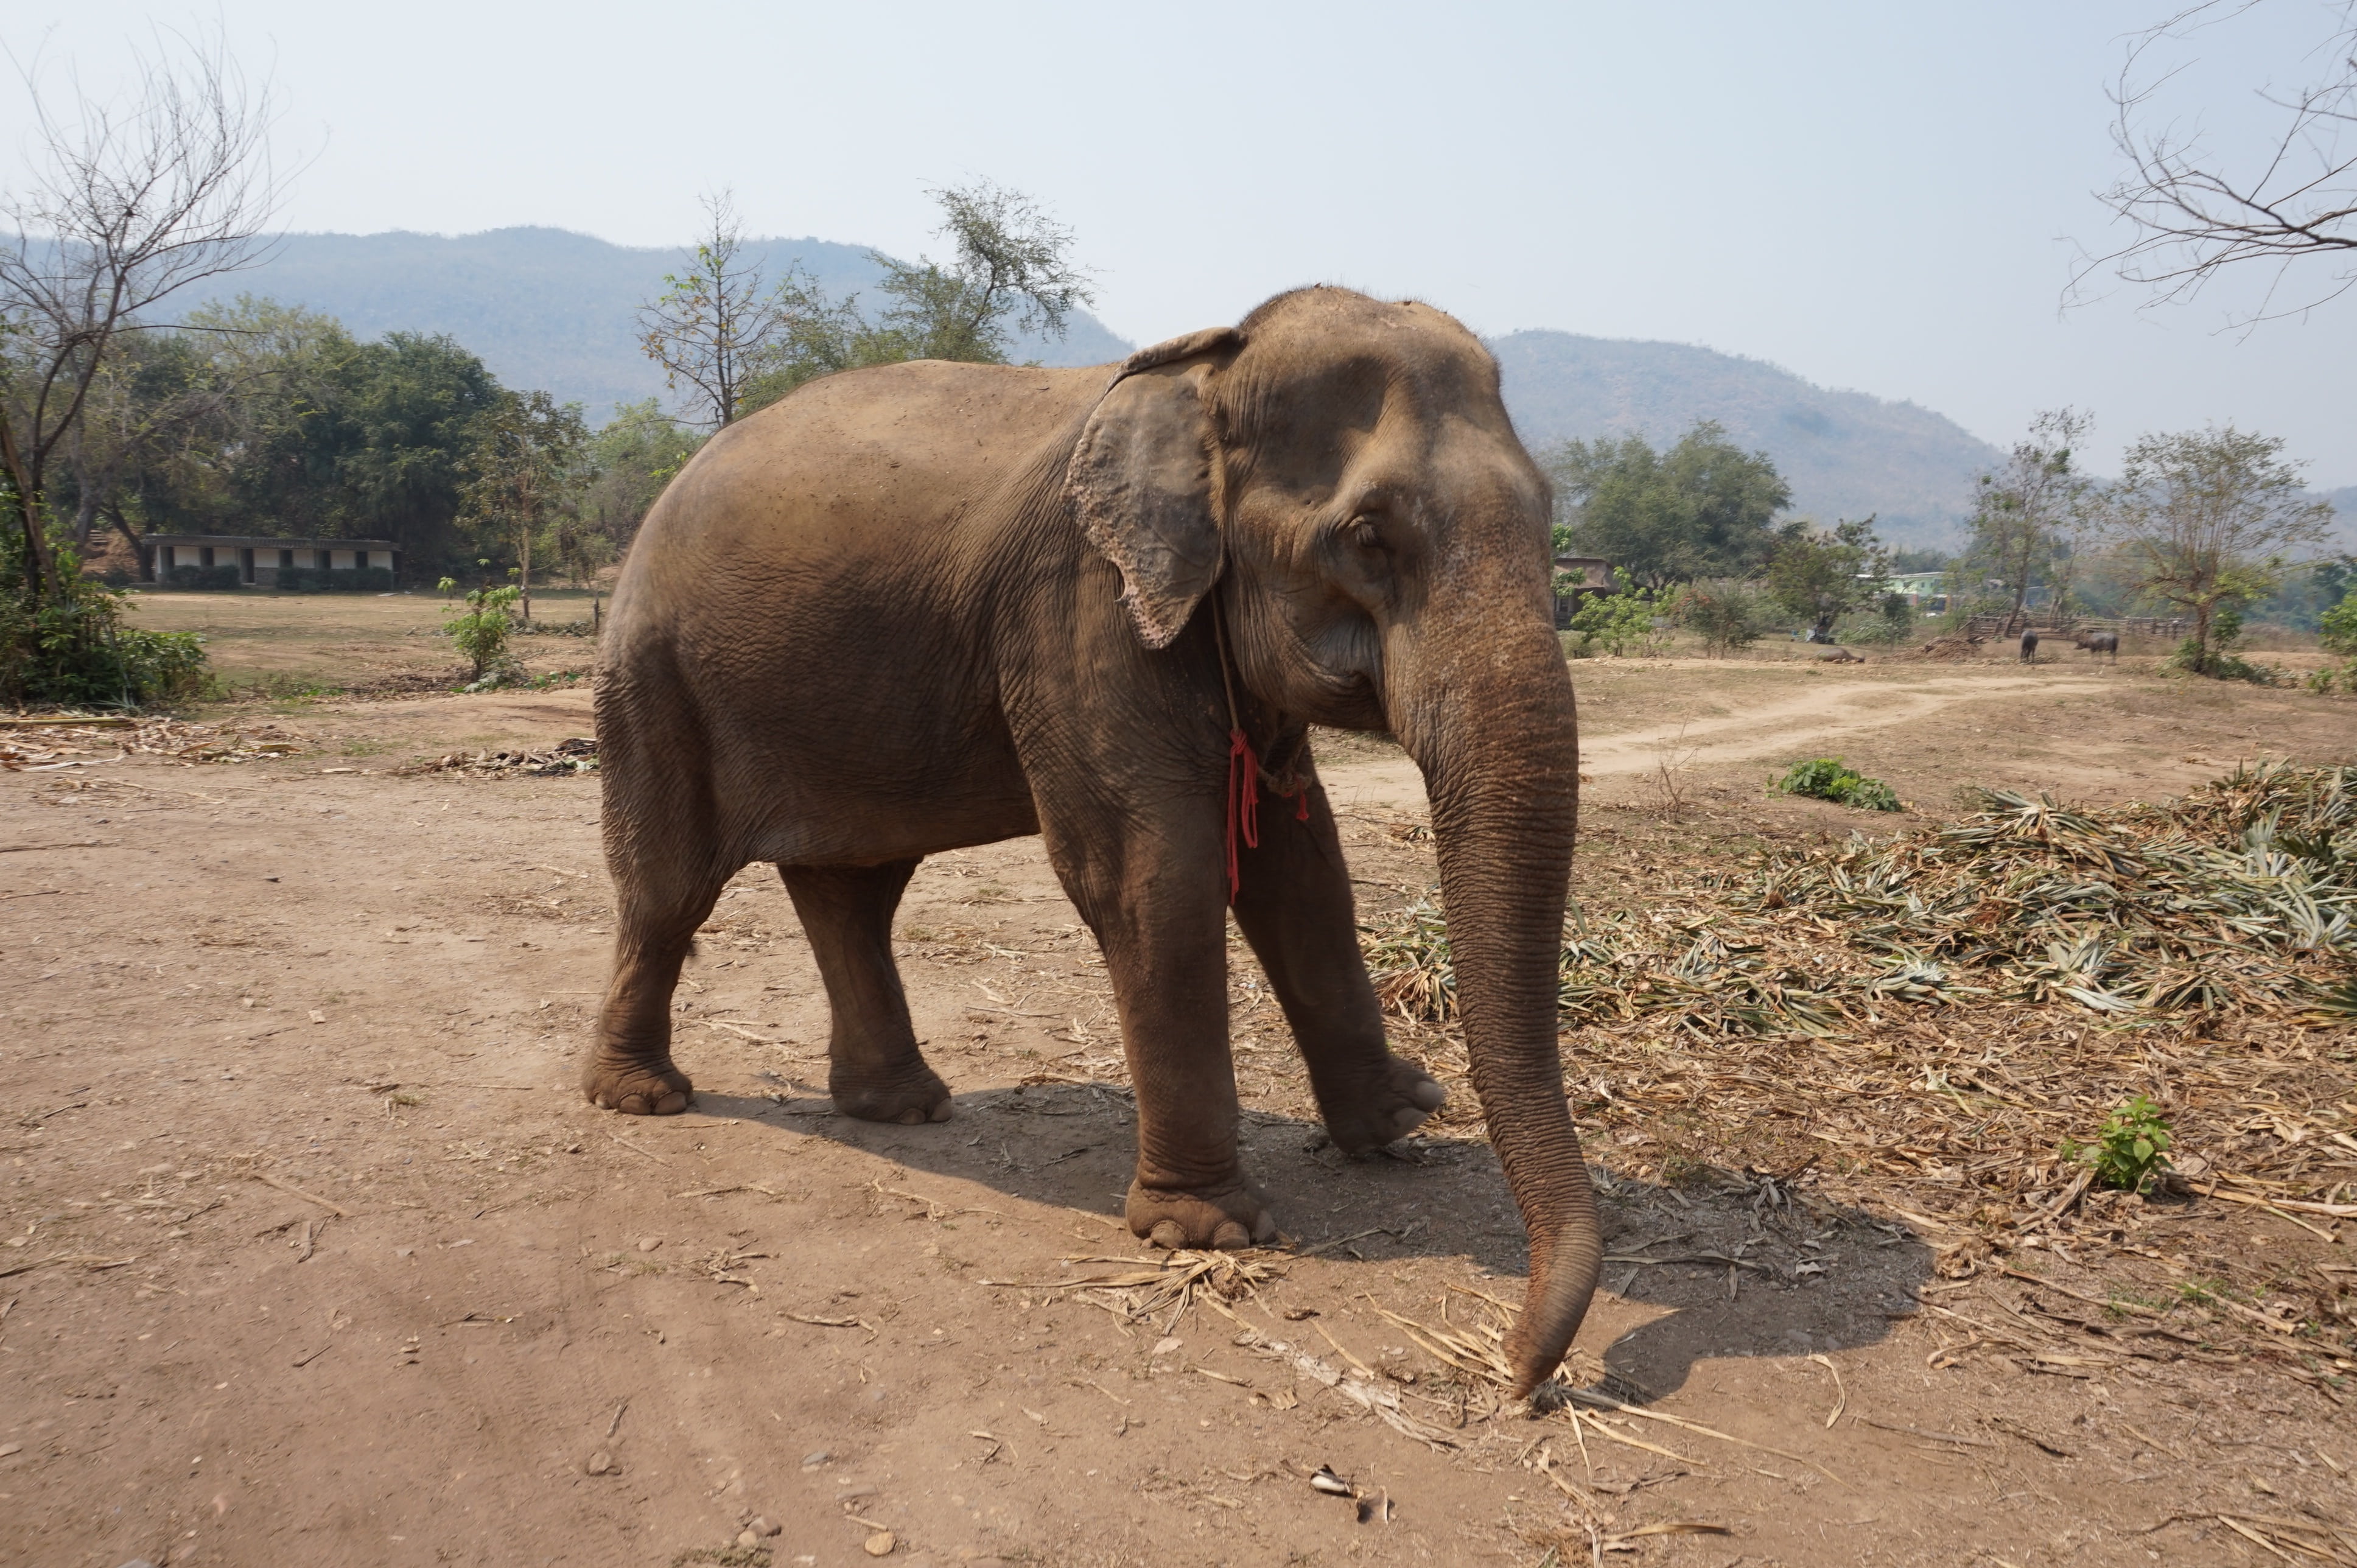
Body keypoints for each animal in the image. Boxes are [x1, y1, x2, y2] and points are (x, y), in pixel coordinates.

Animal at [585, 286, 1598, 1395]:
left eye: (1550, 515)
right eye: (1369, 537)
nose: (1519, 1375)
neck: (1207, 376)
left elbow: (1299, 864)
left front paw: (1397, 1127)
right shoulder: (1081, 609)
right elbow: (1152, 873)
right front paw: (1209, 1232)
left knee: (855, 888)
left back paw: (900, 1107)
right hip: (653, 678)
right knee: (671, 890)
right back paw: (644, 1098)